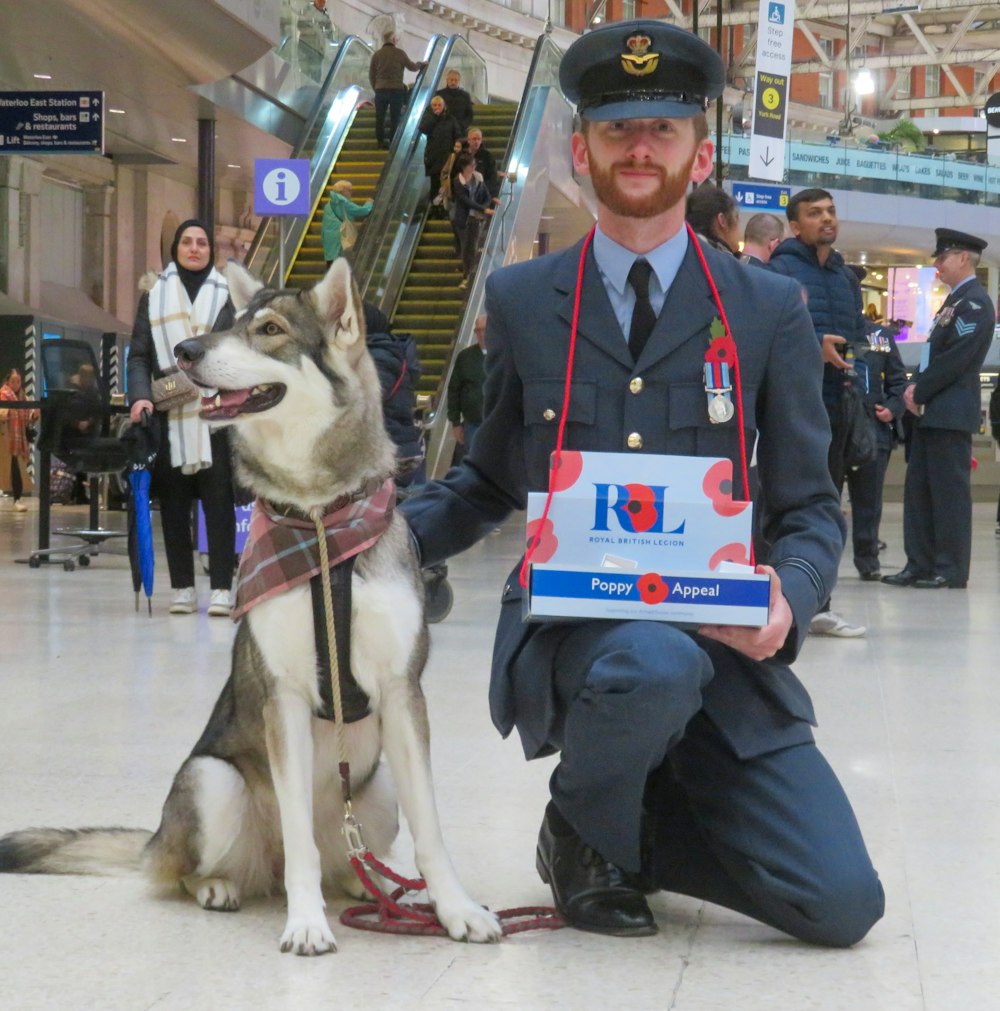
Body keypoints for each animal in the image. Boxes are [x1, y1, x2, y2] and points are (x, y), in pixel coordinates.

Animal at [0, 260, 499, 954]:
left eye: (268, 330)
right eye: (229, 324)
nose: (185, 352)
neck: (318, 522)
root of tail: (157, 841)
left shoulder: (403, 697)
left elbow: (432, 832)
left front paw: (455, 909)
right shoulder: (282, 699)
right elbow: (298, 841)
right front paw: (307, 922)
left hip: (378, 791)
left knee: (341, 856)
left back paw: (368, 886)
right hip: (214, 781)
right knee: (214, 868)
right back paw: (221, 886)